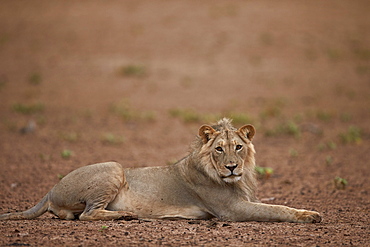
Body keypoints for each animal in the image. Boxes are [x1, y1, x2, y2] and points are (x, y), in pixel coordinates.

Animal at [0, 118, 320, 223]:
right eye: (219, 149)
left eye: (238, 147)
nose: (231, 167)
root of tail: (50, 189)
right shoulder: (231, 210)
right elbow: (277, 209)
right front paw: (310, 215)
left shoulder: (243, 200)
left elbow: (276, 204)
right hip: (114, 167)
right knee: (87, 214)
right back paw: (126, 215)